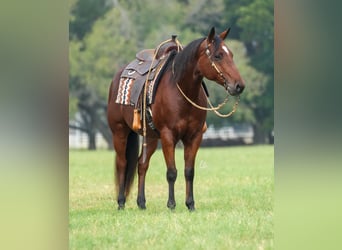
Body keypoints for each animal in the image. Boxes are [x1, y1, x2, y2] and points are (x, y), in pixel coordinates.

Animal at [108, 27, 244, 211]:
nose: (239, 85)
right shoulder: (168, 136)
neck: (181, 90)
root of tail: (118, 76)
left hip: (150, 137)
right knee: (123, 163)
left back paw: (141, 203)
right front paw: (171, 205)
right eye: (218, 56)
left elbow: (189, 171)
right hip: (120, 131)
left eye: (231, 54)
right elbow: (171, 172)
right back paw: (121, 202)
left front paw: (190, 204)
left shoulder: (194, 136)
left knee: (141, 165)